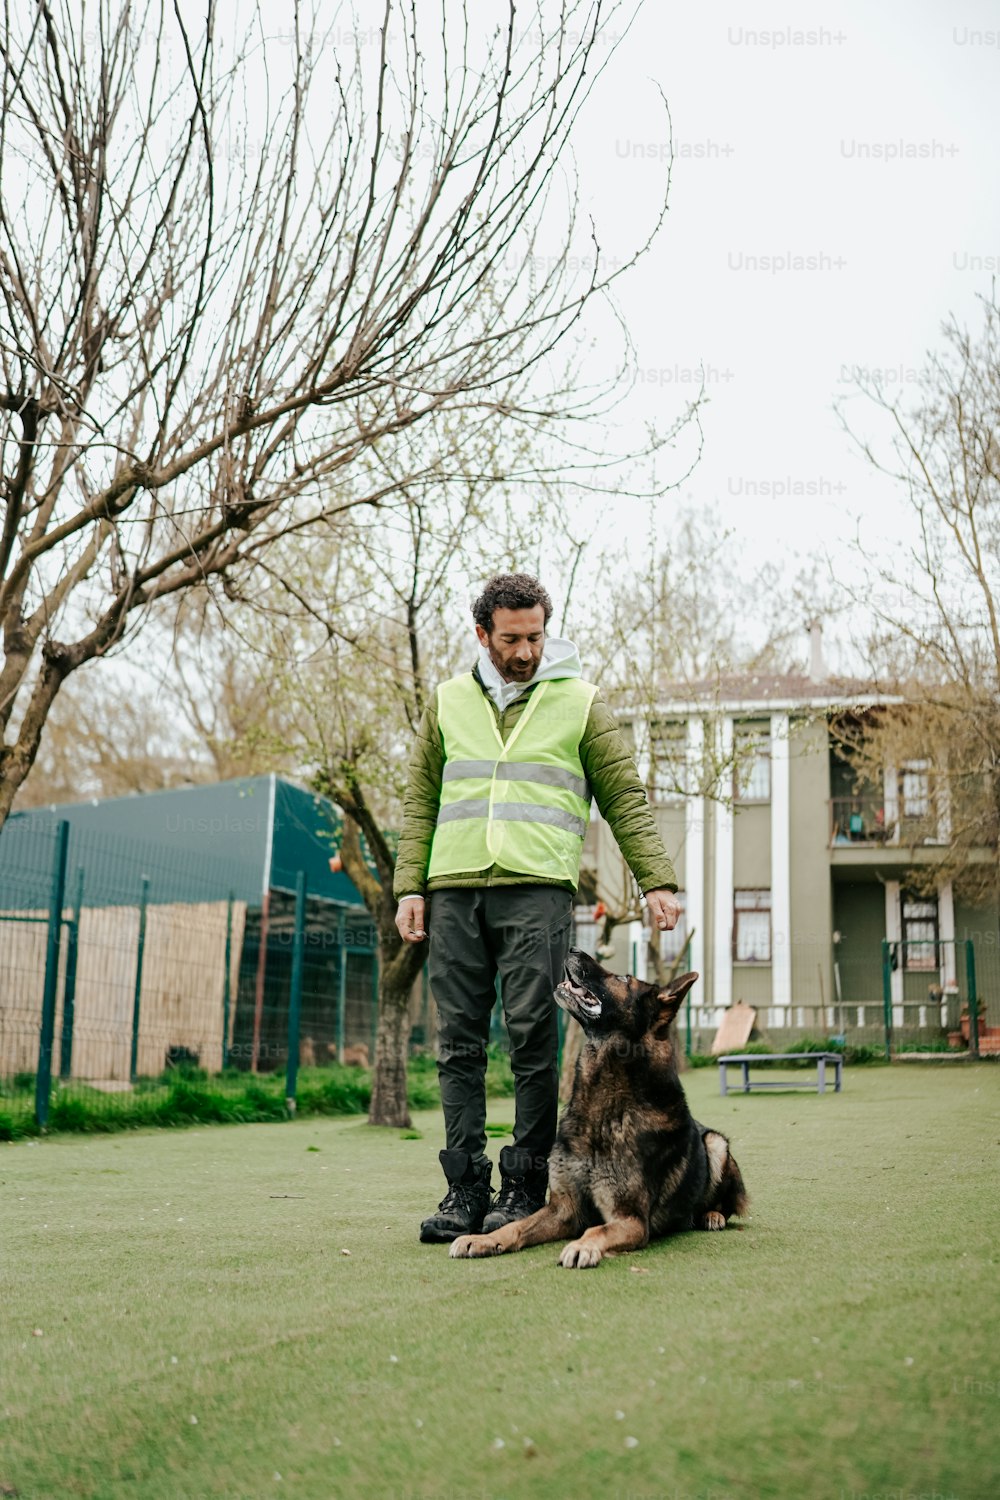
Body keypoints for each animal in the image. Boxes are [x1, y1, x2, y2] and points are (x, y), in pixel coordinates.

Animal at [449, 948, 746, 1266]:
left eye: (624, 979)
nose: (573, 950)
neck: (605, 1107)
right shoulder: (563, 1210)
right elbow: (516, 1226)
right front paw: (483, 1239)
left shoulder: (630, 1220)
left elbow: (596, 1230)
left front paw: (583, 1246)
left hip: (716, 1144)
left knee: (726, 1203)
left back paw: (712, 1215)